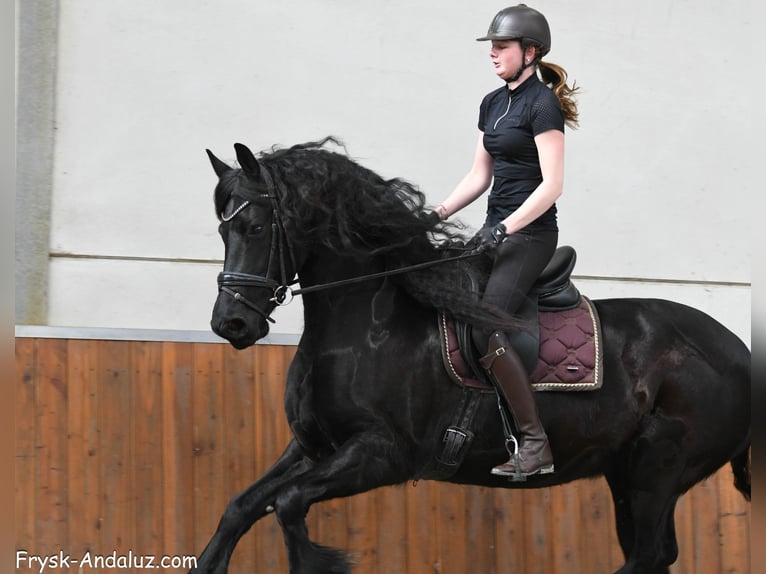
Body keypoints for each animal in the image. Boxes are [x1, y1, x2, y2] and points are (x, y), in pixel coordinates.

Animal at [194, 138, 750, 574]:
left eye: (256, 229)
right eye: (222, 231)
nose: (231, 324)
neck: (369, 327)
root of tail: (738, 351)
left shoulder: (381, 455)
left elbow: (288, 505)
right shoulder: (313, 448)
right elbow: (241, 506)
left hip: (658, 471)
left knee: (649, 556)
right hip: (626, 473)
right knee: (654, 555)